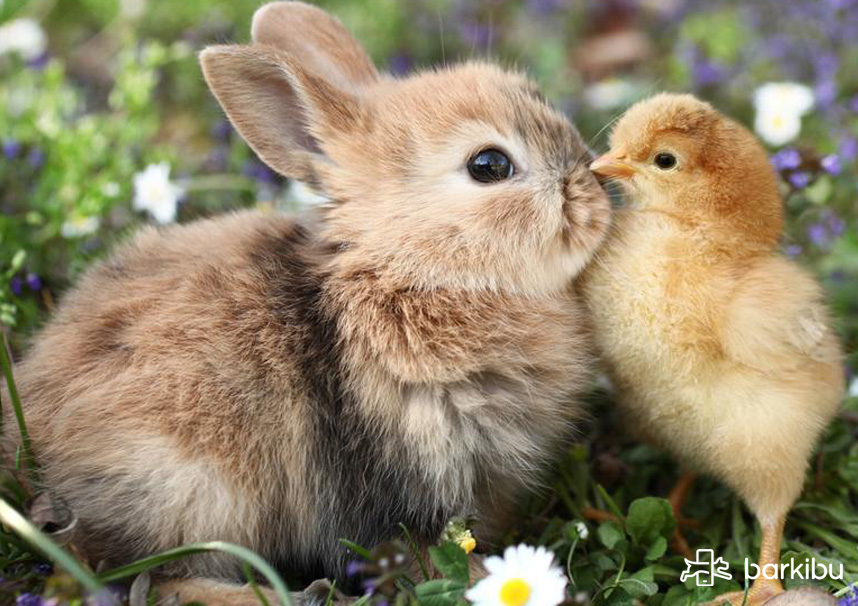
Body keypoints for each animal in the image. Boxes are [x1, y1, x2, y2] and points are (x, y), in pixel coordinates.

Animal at [3, 2, 612, 604]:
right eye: (489, 165)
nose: (594, 187)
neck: (408, 268)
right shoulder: (390, 480)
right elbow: (412, 551)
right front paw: (483, 576)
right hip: (187, 485)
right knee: (153, 578)